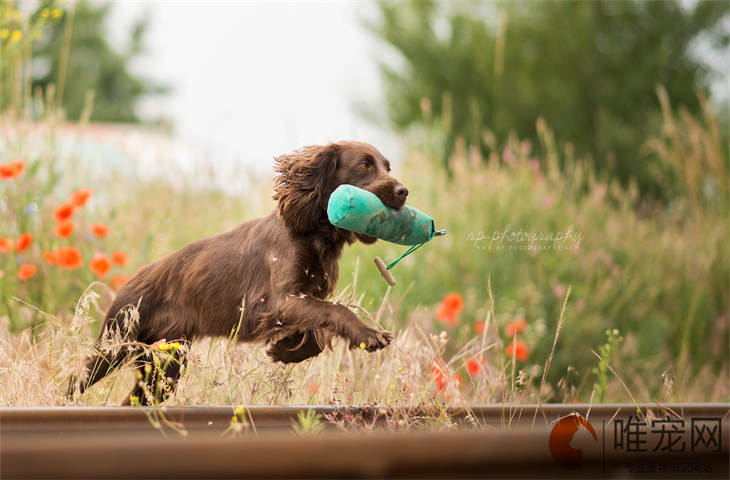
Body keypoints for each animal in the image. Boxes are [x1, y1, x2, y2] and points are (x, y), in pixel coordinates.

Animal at [66, 142, 406, 404]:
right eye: (365, 164)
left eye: (388, 167)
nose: (404, 191)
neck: (313, 234)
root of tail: (128, 282)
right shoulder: (277, 301)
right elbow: (335, 311)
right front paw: (369, 334)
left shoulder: (303, 299)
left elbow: (318, 331)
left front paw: (284, 351)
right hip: (116, 342)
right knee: (76, 378)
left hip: (166, 363)